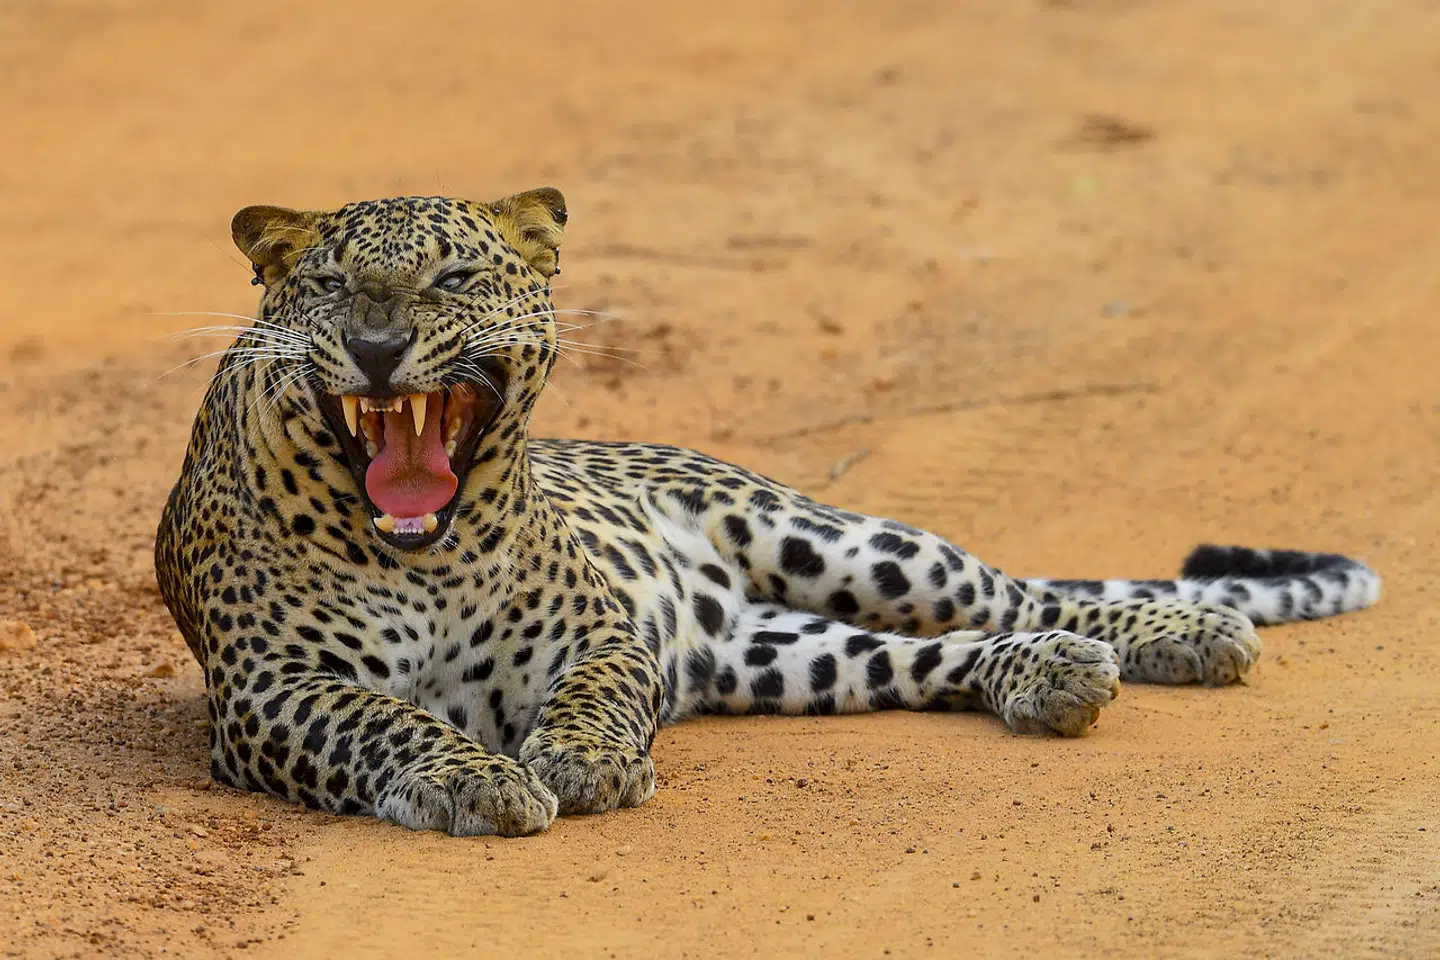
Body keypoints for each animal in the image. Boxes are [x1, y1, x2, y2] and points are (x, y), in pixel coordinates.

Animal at [155, 189, 1382, 836]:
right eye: (326, 286)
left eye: (453, 279)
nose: (376, 347)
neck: (424, 555)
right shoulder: (271, 689)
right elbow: (387, 720)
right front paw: (475, 778)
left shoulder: (600, 637)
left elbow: (593, 699)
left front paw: (582, 766)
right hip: (784, 656)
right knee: (937, 657)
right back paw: (1053, 680)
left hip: (855, 547)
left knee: (1021, 591)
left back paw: (1185, 635)